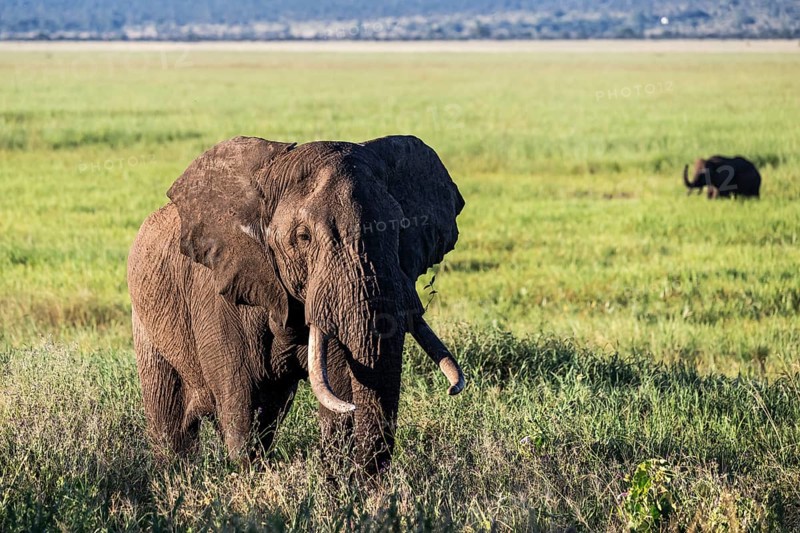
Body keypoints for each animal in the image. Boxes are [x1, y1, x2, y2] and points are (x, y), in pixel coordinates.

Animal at [127, 135, 466, 474]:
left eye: (400, 229)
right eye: (303, 237)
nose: (452, 389)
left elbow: (338, 389)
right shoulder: (216, 295)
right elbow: (241, 408)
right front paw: (249, 476)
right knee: (170, 420)